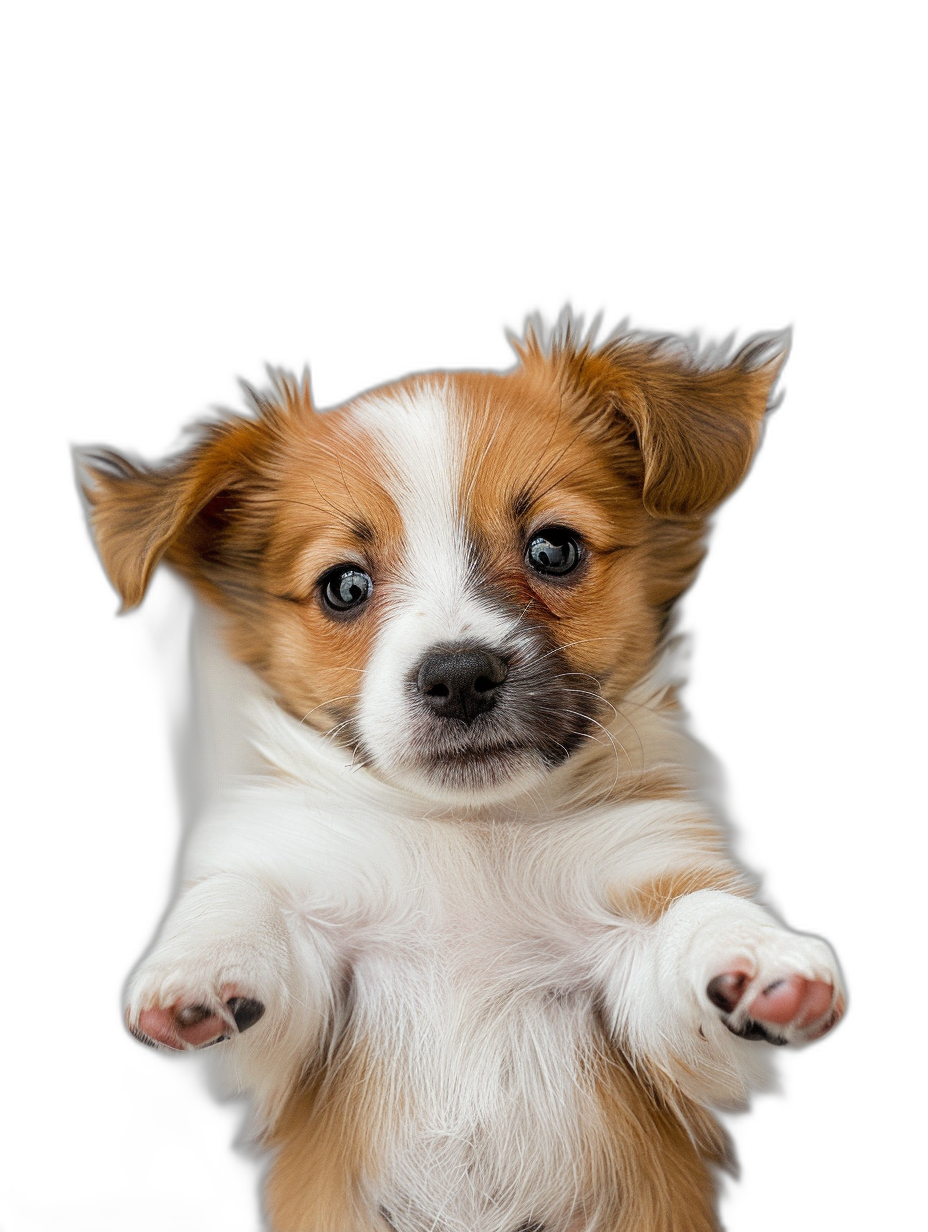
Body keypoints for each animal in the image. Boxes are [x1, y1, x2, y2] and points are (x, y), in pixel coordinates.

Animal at [77, 317, 847, 1232]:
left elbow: (694, 918)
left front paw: (763, 955)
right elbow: (244, 896)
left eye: (554, 548)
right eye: (344, 586)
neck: (469, 832)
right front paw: (194, 964)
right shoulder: (316, 1001)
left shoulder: (643, 997)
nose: (458, 676)